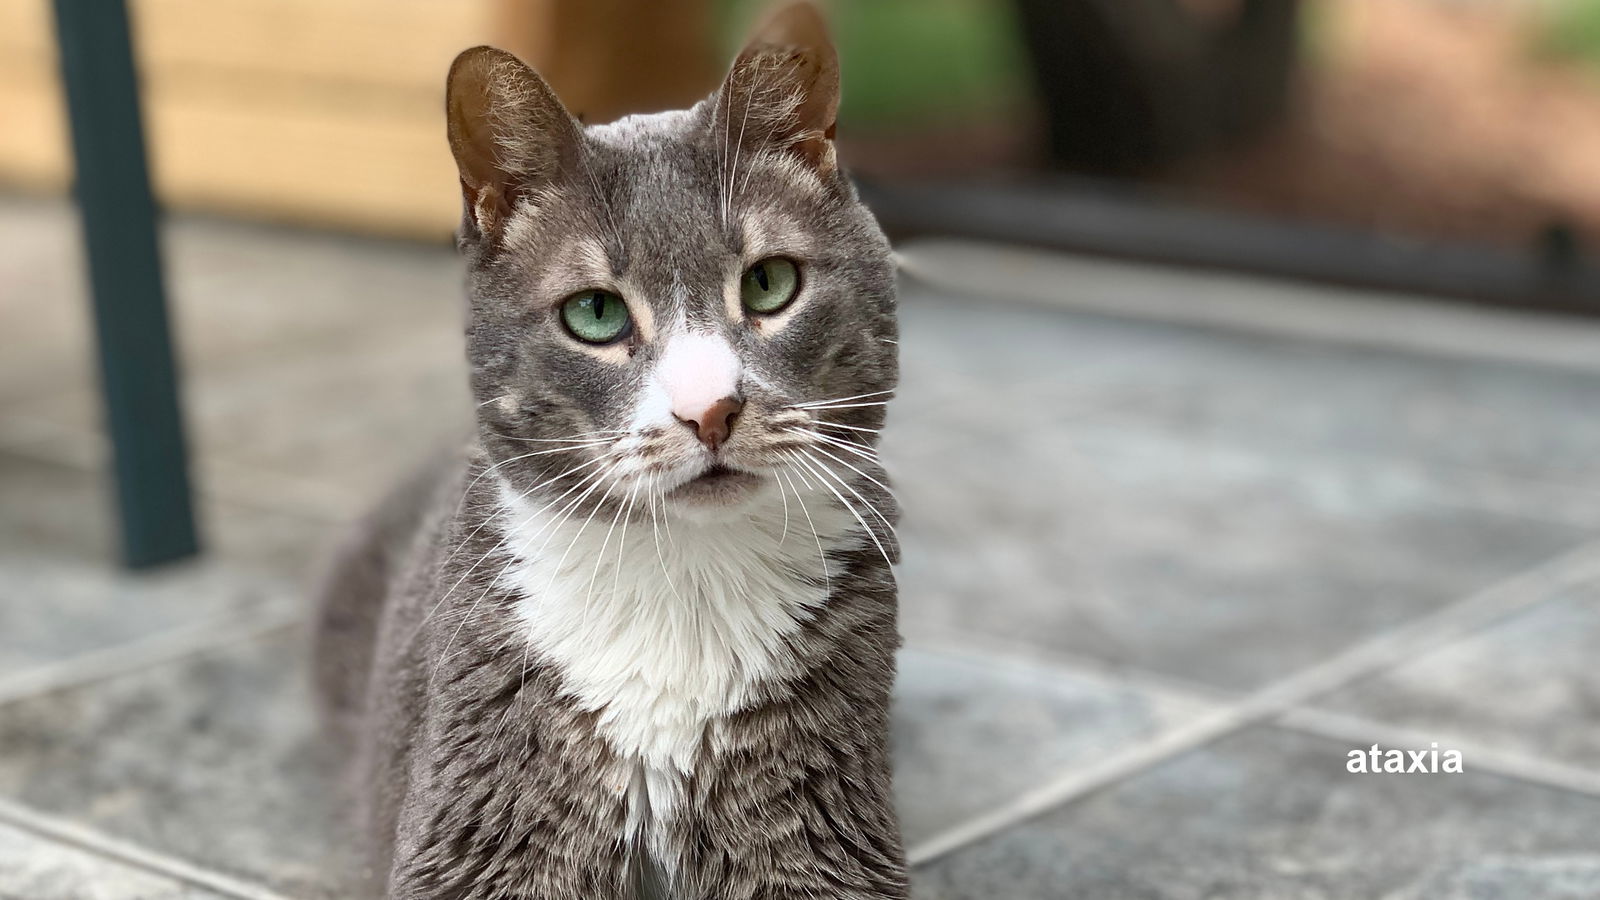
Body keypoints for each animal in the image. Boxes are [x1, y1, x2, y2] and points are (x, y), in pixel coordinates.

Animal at [312, 3, 908, 890]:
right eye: (594, 313)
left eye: (770, 283)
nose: (710, 410)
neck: (685, 577)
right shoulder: (482, 797)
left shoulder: (821, 813)